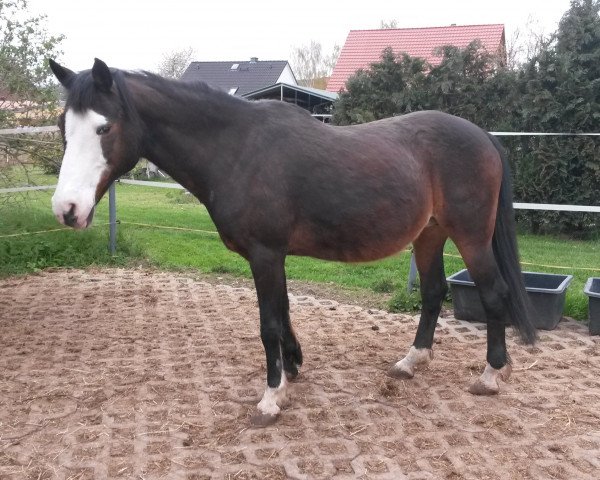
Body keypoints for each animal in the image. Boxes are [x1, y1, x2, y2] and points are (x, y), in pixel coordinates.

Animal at [47, 59, 536, 428]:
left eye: (104, 128)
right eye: (62, 126)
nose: (67, 209)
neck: (238, 149)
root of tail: (483, 136)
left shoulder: (265, 255)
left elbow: (268, 325)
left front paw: (269, 399)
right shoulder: (274, 257)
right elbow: (283, 315)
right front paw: (291, 371)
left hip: (470, 236)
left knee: (493, 294)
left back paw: (491, 374)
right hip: (429, 235)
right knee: (433, 293)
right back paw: (410, 363)